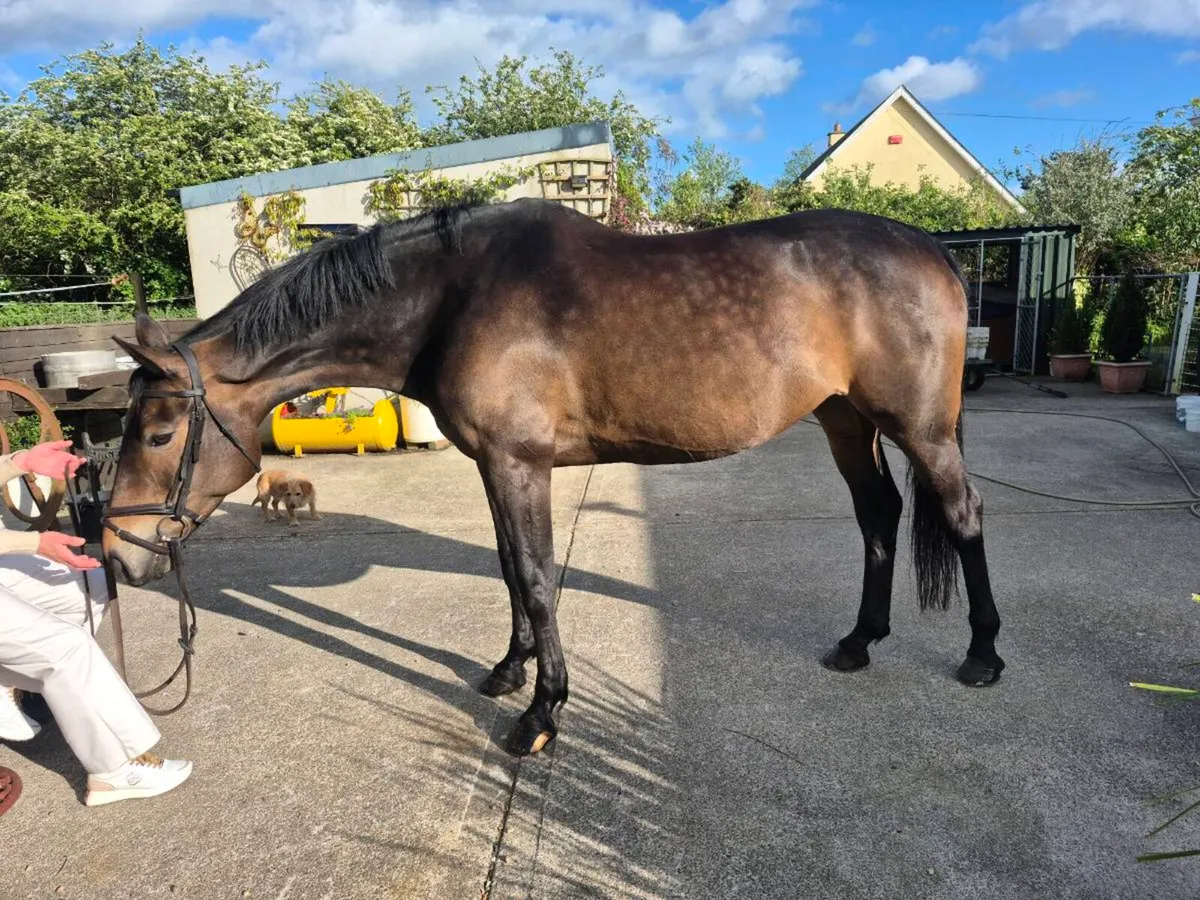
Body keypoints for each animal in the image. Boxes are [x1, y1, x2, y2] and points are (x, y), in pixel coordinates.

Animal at [101, 197, 1004, 757]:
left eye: (158, 432)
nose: (118, 554)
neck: (455, 296)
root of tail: (931, 251)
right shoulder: (496, 466)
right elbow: (510, 570)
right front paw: (510, 672)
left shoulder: (518, 464)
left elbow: (536, 578)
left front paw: (541, 714)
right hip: (846, 419)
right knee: (879, 514)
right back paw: (858, 641)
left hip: (920, 430)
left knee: (962, 513)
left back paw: (984, 655)